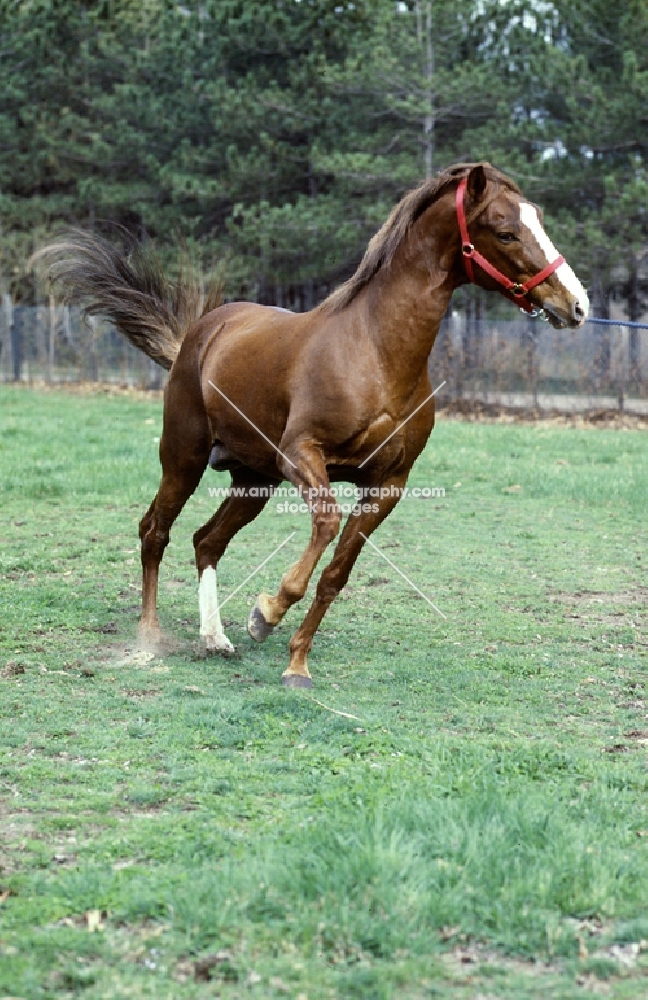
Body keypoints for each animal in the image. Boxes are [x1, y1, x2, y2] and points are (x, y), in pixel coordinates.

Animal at [39, 162, 588, 688]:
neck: (375, 351)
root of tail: (199, 334)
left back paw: (214, 638)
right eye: (506, 232)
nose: (577, 305)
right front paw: (265, 613)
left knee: (206, 541)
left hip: (253, 481)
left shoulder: (387, 485)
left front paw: (296, 665)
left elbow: (336, 574)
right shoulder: (302, 456)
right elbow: (324, 525)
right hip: (185, 458)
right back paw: (151, 637)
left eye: (538, 219)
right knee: (155, 530)